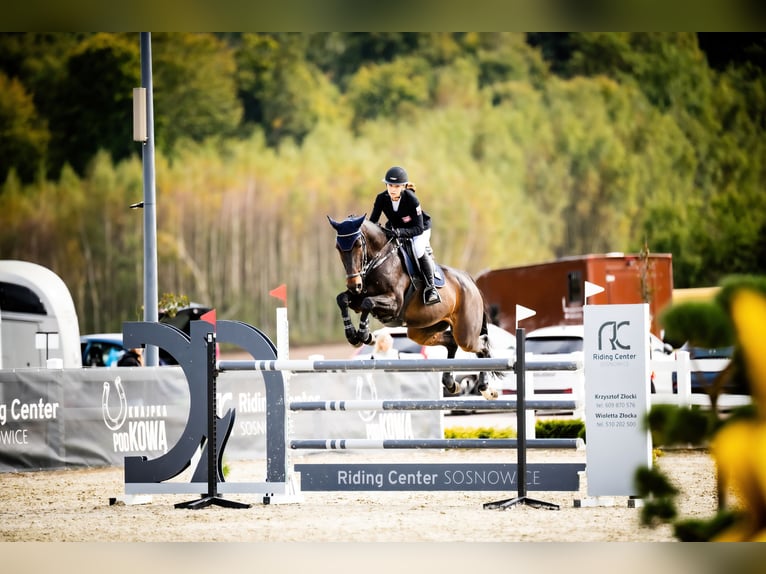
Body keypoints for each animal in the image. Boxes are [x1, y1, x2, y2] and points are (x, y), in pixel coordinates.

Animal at [328, 214, 500, 402]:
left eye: (358, 244)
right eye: (338, 247)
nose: (354, 284)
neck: (379, 260)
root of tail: (469, 280)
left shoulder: (394, 303)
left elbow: (368, 303)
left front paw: (365, 335)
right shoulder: (358, 297)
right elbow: (342, 299)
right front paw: (353, 335)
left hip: (465, 334)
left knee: (481, 345)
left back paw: (485, 388)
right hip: (424, 329)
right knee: (452, 342)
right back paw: (450, 383)